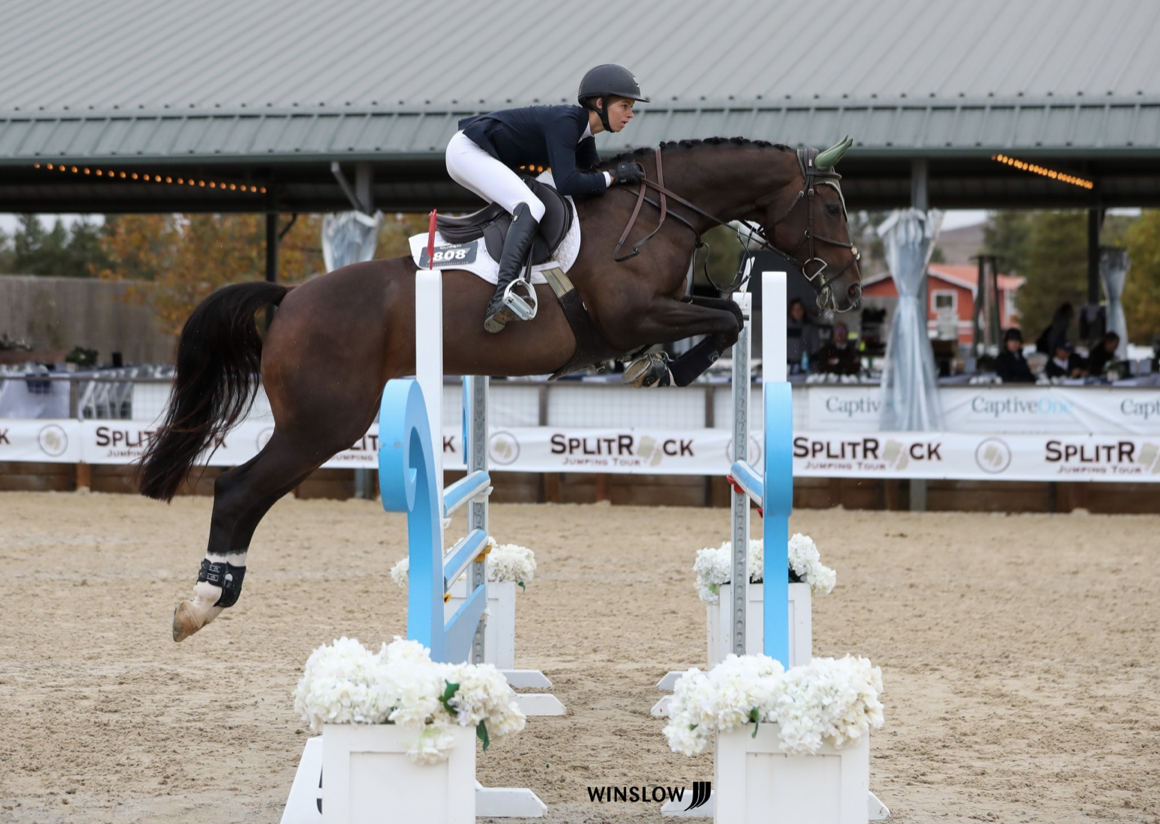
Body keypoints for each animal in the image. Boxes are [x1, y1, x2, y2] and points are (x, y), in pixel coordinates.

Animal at [138, 135, 863, 640]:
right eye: (831, 206)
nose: (851, 292)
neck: (657, 212)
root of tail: (289, 297)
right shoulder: (631, 315)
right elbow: (727, 320)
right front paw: (663, 369)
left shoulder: (660, 310)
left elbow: (726, 316)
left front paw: (657, 366)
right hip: (323, 424)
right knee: (239, 490)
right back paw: (201, 603)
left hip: (321, 424)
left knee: (247, 491)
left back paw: (214, 595)